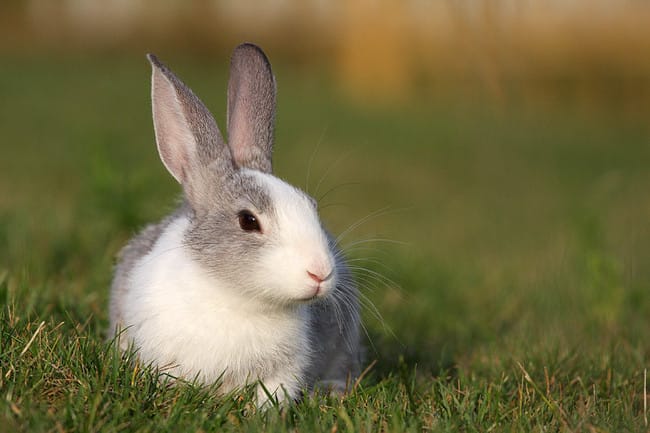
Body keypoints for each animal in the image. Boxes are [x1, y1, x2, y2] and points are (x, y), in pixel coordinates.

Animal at [108, 43, 362, 405]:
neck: (239, 297)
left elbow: (274, 394)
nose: (320, 273)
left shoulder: (286, 372)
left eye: (311, 206)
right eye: (248, 221)